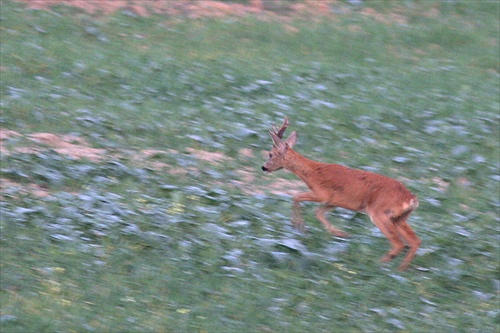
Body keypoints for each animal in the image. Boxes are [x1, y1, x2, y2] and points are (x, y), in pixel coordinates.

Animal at [262, 116, 422, 270]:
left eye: (271, 154)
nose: (264, 167)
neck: (312, 173)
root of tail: (411, 199)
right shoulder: (333, 201)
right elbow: (318, 213)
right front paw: (341, 234)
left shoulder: (323, 194)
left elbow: (296, 197)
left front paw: (298, 226)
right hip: (399, 217)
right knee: (415, 241)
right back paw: (400, 270)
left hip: (379, 212)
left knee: (399, 243)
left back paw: (380, 264)